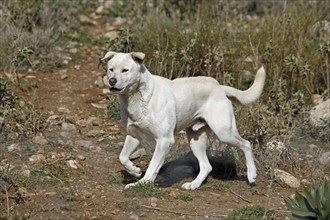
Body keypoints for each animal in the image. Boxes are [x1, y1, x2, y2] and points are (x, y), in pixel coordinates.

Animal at [102, 51, 266, 189]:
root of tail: (219, 87)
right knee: (206, 166)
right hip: (195, 139)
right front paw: (134, 171)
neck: (139, 97)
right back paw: (193, 185)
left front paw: (143, 183)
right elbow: (122, 157)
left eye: (125, 70)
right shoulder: (134, 135)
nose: (112, 81)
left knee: (246, 144)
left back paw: (252, 174)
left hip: (224, 132)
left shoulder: (164, 140)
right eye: (111, 69)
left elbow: (153, 165)